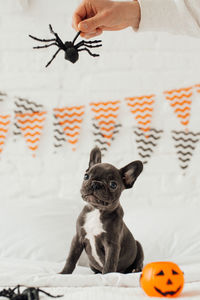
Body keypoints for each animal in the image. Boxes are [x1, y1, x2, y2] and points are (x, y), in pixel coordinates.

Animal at [59, 146, 144, 276]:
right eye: (86, 176)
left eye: (113, 184)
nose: (95, 184)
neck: (96, 210)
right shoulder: (77, 238)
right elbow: (71, 259)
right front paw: (63, 274)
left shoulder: (112, 244)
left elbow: (109, 263)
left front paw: (107, 277)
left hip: (138, 246)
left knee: (139, 261)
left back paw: (135, 270)